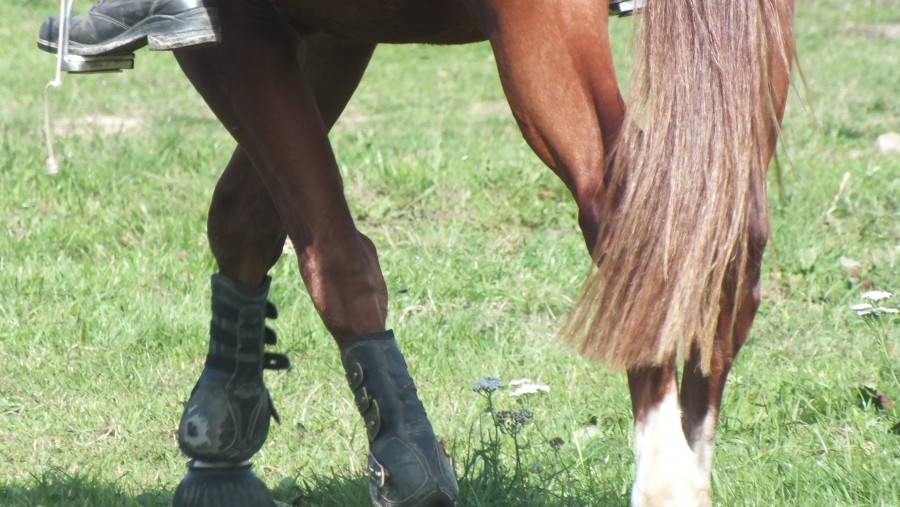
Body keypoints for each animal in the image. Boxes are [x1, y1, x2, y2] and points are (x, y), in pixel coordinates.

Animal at [169, 0, 796, 507]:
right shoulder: (329, 32)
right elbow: (245, 219)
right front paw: (222, 424)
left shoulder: (238, 32)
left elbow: (330, 252)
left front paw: (405, 459)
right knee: (728, 246)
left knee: (640, 227)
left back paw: (663, 480)